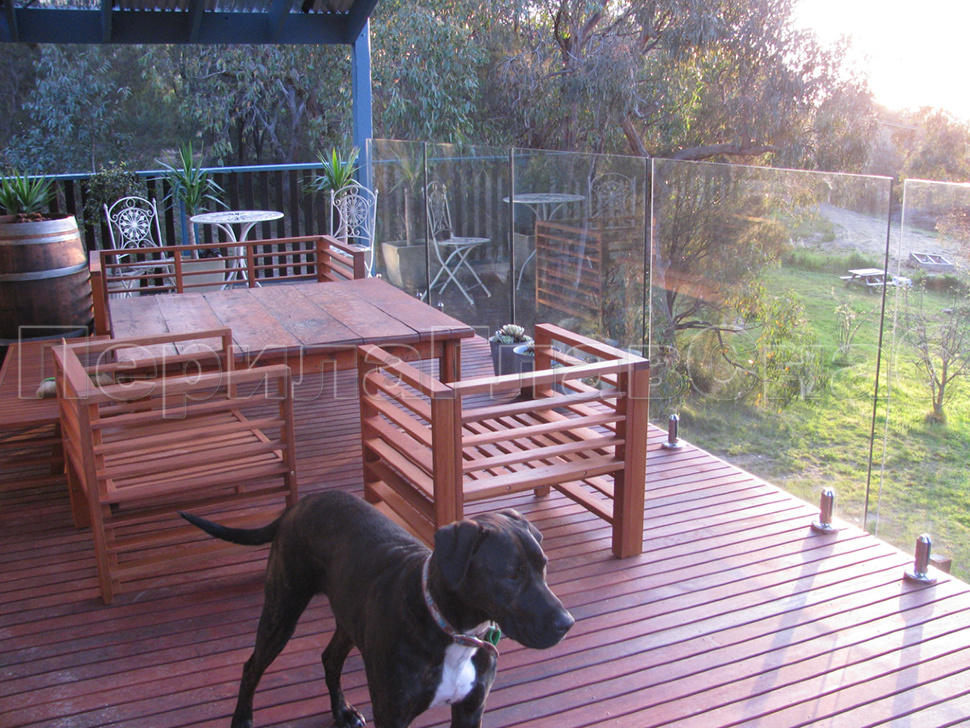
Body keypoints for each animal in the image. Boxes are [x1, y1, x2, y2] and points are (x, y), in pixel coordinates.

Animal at [181, 491, 574, 728]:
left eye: (544, 565)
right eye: (510, 575)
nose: (566, 623)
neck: (452, 631)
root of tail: (299, 503)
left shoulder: (470, 710)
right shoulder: (393, 714)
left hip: (348, 616)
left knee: (330, 658)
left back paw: (342, 711)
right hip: (282, 609)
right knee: (252, 666)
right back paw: (242, 719)